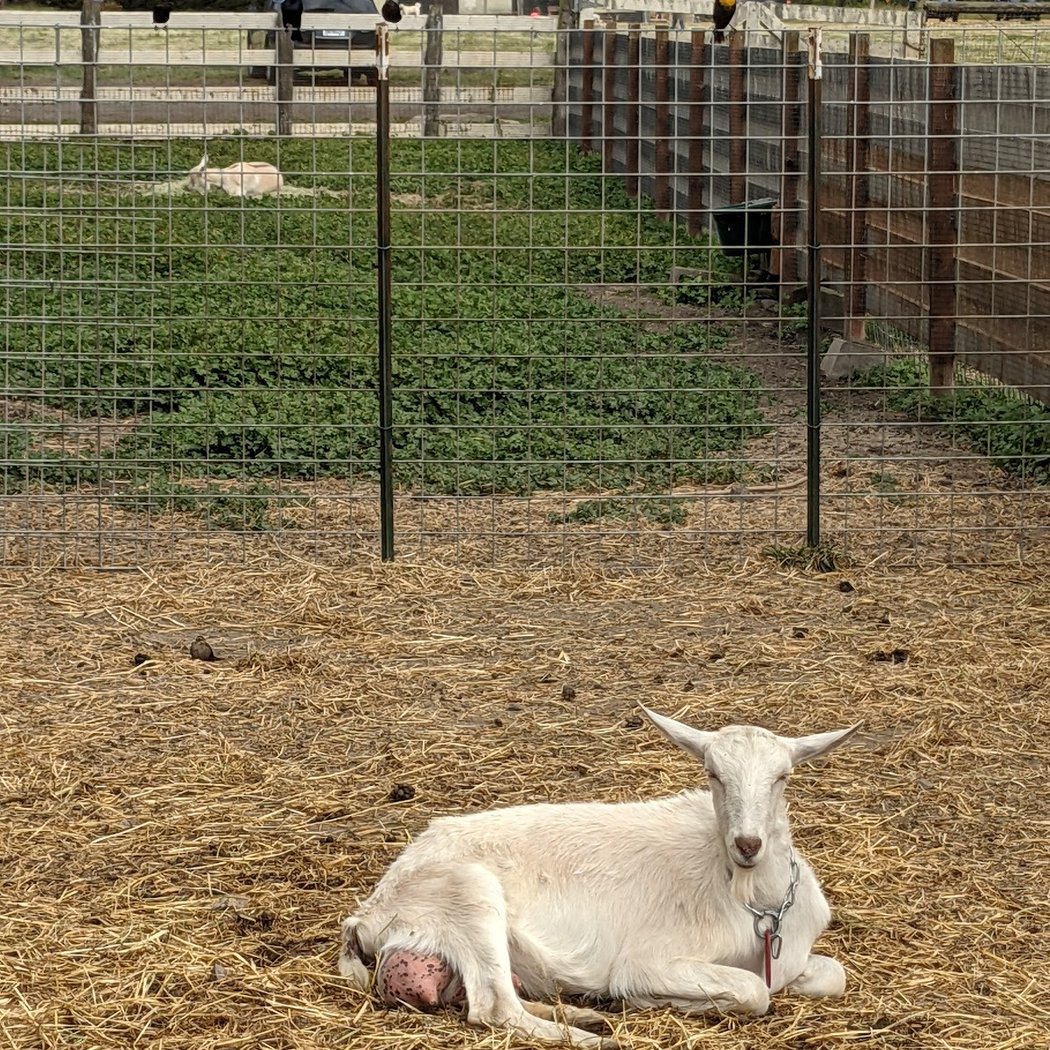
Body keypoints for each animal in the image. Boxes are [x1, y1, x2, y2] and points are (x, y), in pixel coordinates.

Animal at [338, 707, 860, 1047]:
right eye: (713, 774)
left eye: (782, 777)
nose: (747, 844)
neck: (750, 898)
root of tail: (366, 914)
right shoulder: (648, 959)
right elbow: (754, 991)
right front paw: (654, 1000)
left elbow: (831, 975)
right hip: (468, 893)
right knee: (493, 1008)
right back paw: (592, 1038)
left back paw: (583, 1016)